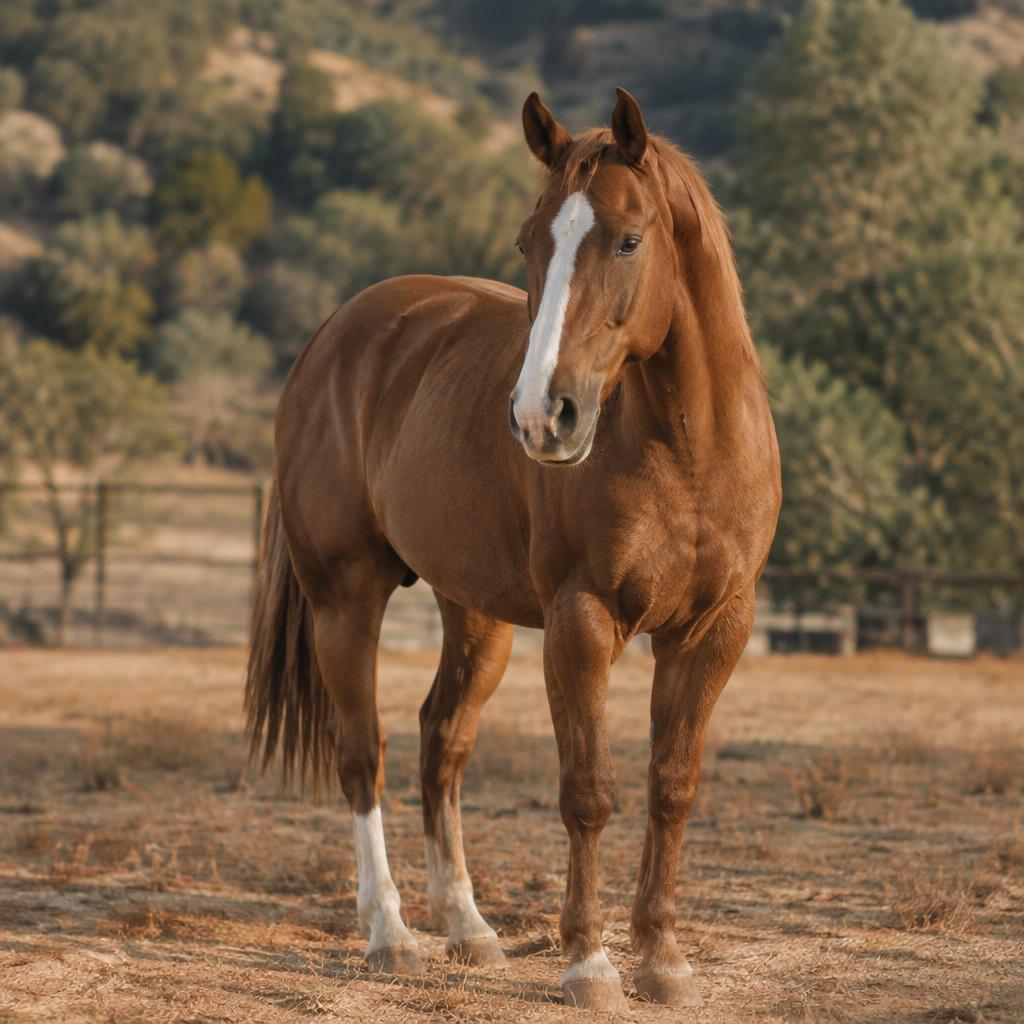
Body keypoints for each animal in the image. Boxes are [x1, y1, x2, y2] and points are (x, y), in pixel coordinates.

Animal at [246, 88, 781, 1011]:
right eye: (530, 242)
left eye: (628, 238)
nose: (540, 417)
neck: (689, 448)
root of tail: (333, 336)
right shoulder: (580, 623)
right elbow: (589, 791)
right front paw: (589, 965)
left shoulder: (716, 629)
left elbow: (671, 787)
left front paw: (663, 959)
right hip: (344, 599)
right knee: (364, 753)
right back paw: (391, 935)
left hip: (476, 614)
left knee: (441, 743)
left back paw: (468, 928)